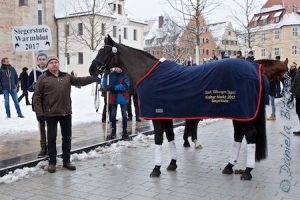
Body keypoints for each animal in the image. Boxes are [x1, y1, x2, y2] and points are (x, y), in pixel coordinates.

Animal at [89, 35, 288, 180]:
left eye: (104, 51)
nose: (92, 69)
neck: (148, 73)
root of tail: (255, 70)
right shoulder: (166, 115)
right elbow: (170, 137)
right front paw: (172, 164)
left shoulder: (157, 117)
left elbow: (159, 140)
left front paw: (156, 168)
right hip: (239, 114)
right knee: (239, 136)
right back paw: (229, 166)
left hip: (243, 114)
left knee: (250, 136)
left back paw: (247, 171)